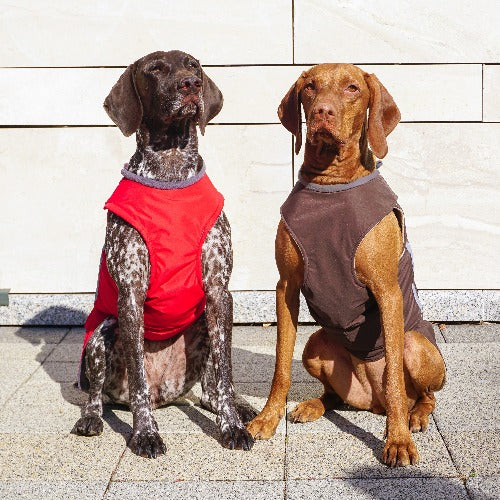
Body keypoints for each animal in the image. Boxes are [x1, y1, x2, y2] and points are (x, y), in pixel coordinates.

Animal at [74, 49, 256, 458]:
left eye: (193, 65)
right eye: (154, 69)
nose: (190, 85)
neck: (170, 171)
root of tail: (168, 394)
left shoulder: (219, 291)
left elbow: (225, 375)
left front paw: (232, 426)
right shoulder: (130, 295)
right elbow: (139, 380)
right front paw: (145, 434)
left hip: (202, 321)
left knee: (212, 388)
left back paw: (238, 406)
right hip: (102, 333)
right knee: (97, 395)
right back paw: (92, 418)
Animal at [248, 64, 448, 466]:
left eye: (353, 88)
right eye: (310, 87)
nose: (323, 112)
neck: (331, 181)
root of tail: (371, 404)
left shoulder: (387, 290)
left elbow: (394, 376)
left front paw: (397, 440)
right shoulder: (286, 287)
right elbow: (280, 364)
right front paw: (268, 417)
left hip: (417, 345)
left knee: (421, 393)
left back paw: (415, 416)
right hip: (315, 345)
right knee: (335, 395)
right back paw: (314, 404)